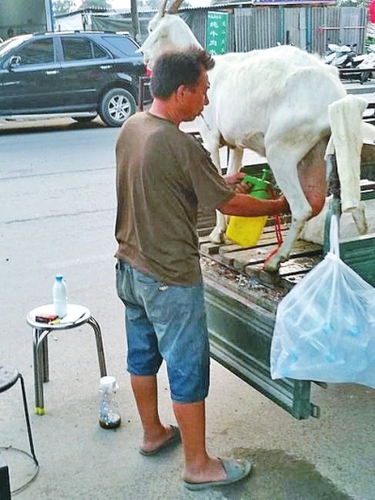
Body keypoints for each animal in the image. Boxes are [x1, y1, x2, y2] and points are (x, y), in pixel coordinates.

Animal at [139, 0, 374, 272]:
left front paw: (217, 234)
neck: (207, 69)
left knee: (302, 207)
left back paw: (275, 261)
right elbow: (230, 175)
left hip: (281, 149)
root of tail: (336, 95)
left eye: (151, 28)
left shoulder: (210, 137)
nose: (144, 56)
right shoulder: (236, 144)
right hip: (317, 148)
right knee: (327, 203)